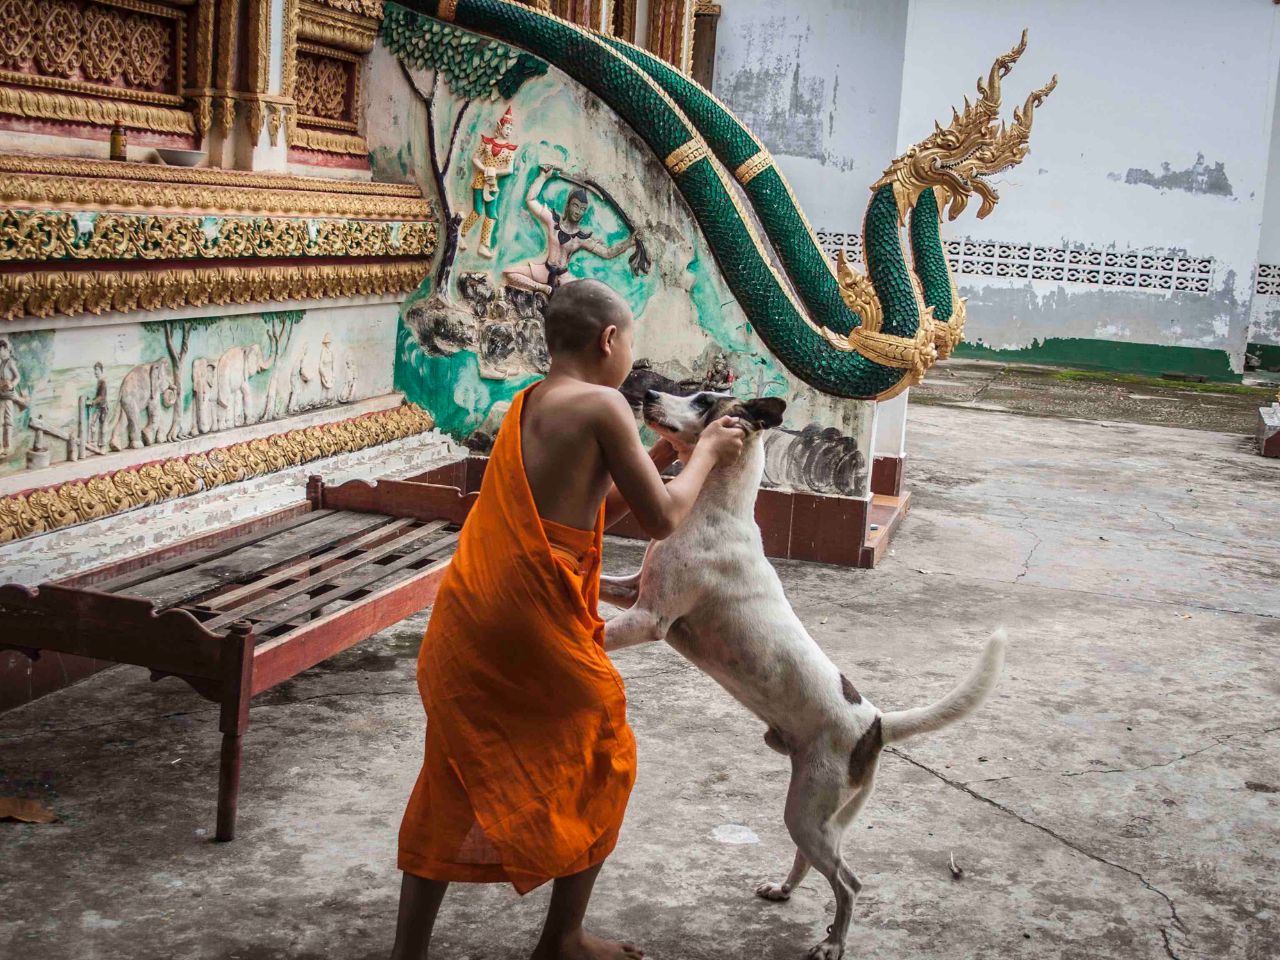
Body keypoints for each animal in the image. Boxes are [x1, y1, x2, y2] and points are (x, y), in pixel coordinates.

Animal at [604, 391, 1003, 960]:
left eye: (703, 399)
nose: (650, 393)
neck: (715, 506)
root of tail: (875, 723)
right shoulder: (630, 592)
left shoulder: (649, 619)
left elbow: (600, 632)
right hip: (815, 815)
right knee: (813, 862)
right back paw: (784, 890)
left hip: (809, 809)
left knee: (849, 883)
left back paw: (834, 943)